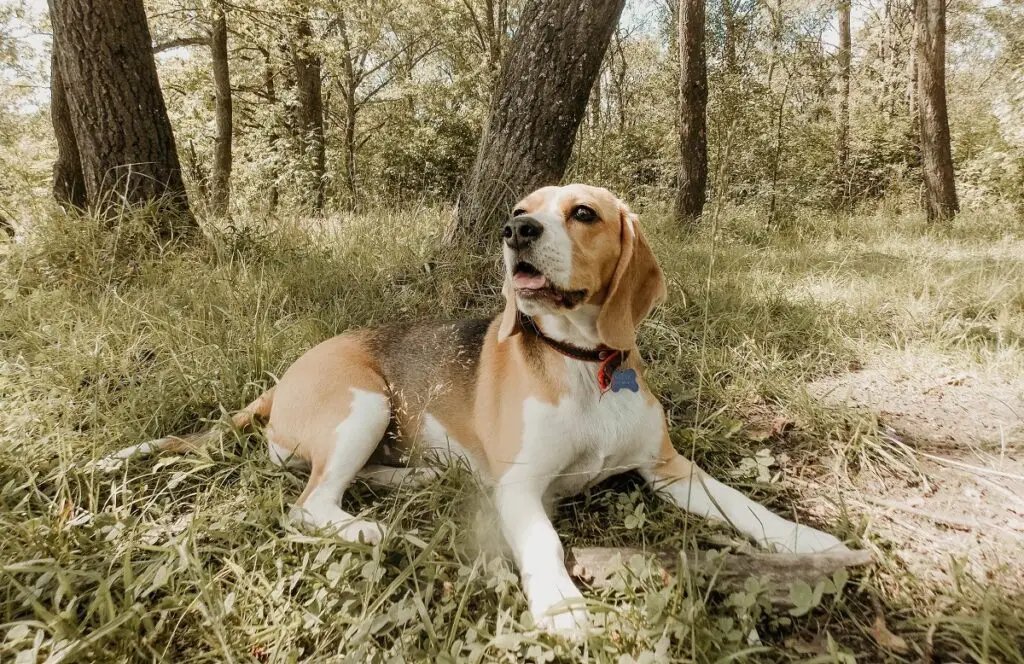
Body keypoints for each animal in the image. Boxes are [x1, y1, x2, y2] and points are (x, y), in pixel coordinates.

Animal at [110, 184, 847, 631]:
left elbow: (745, 507)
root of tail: (278, 383)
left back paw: (418, 479)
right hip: (365, 402)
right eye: (525, 207)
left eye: (584, 213)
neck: (584, 365)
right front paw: (561, 608)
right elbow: (545, 542)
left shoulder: (670, 470)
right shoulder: (520, 486)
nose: (515, 228)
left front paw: (808, 540)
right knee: (310, 504)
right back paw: (375, 530)